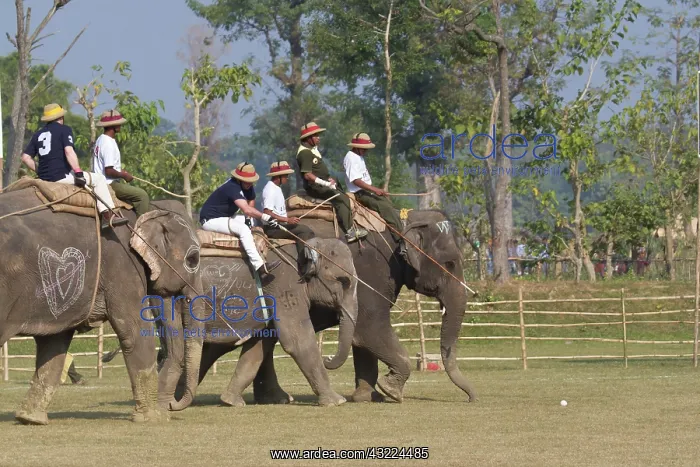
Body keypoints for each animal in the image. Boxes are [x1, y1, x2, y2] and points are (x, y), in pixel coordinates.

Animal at [0, 192, 205, 425]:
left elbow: (55, 344)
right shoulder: (123, 264)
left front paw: (31, 418)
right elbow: (133, 332)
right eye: (193, 259)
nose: (171, 406)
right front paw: (152, 418)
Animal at [162, 237, 358, 409]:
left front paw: (231, 401)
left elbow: (258, 346)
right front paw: (337, 401)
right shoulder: (284, 287)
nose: (328, 358)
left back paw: (175, 400)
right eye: (343, 281)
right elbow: (297, 340)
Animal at [245, 209, 476, 404]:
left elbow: (363, 340)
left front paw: (368, 397)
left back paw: (276, 399)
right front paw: (391, 391)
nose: (471, 398)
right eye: (450, 263)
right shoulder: (370, 276)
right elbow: (370, 330)